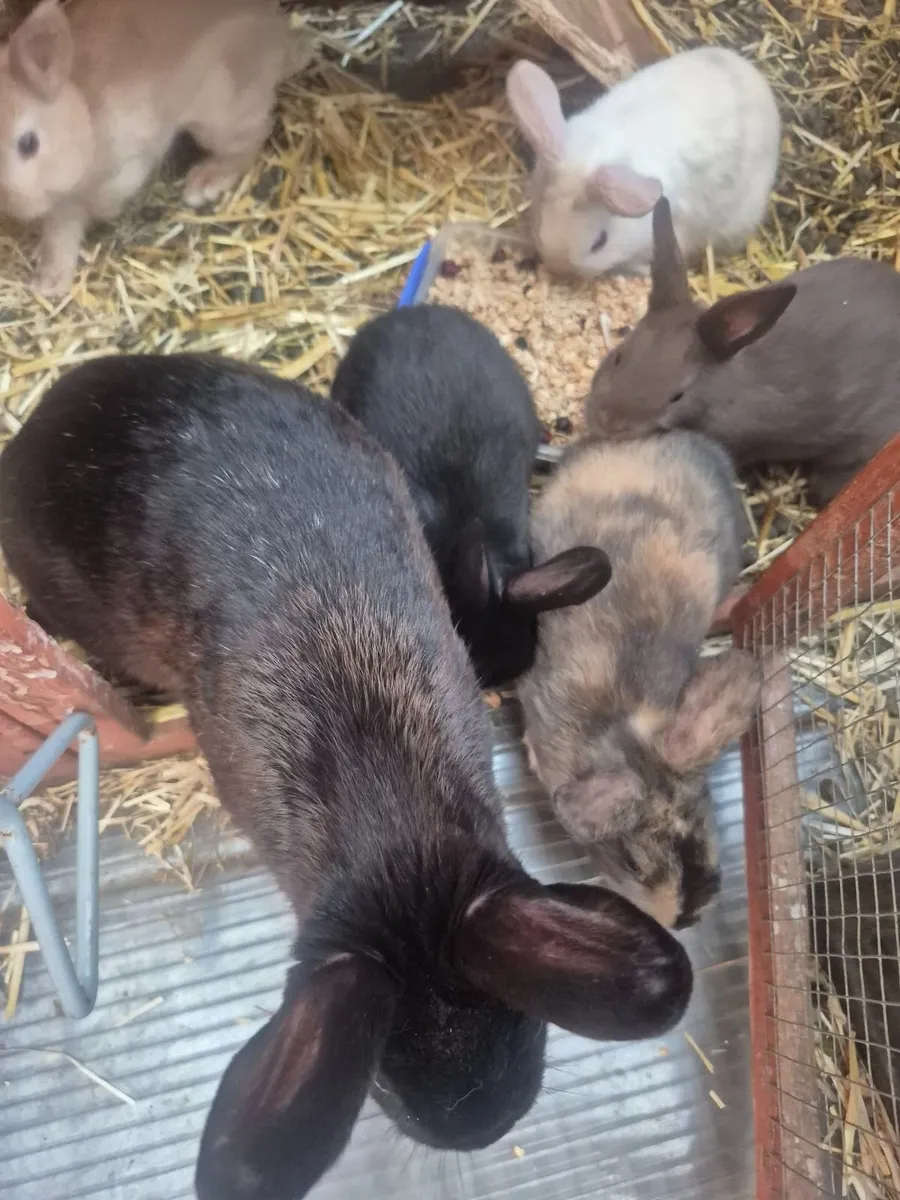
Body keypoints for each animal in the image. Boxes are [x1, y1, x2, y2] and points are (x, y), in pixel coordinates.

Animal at [0, 0, 313, 296]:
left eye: (29, 144)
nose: (13, 205)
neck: (84, 115)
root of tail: (278, 41)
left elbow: (66, 226)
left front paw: (49, 282)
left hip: (222, 115)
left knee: (252, 138)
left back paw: (205, 182)